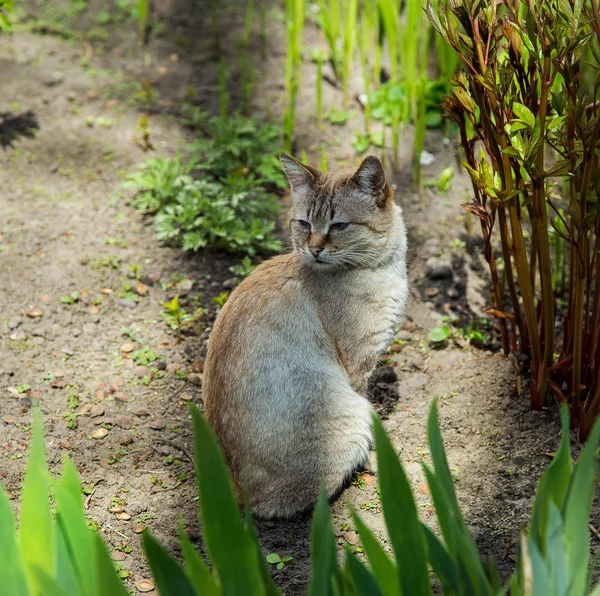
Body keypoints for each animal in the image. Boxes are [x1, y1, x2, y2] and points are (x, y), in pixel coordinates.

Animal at [203, 152, 408, 516]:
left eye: (338, 225)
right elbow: (374, 424)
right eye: (304, 224)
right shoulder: (359, 368)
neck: (384, 269)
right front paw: (381, 457)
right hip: (352, 413)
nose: (313, 249)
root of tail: (237, 499)